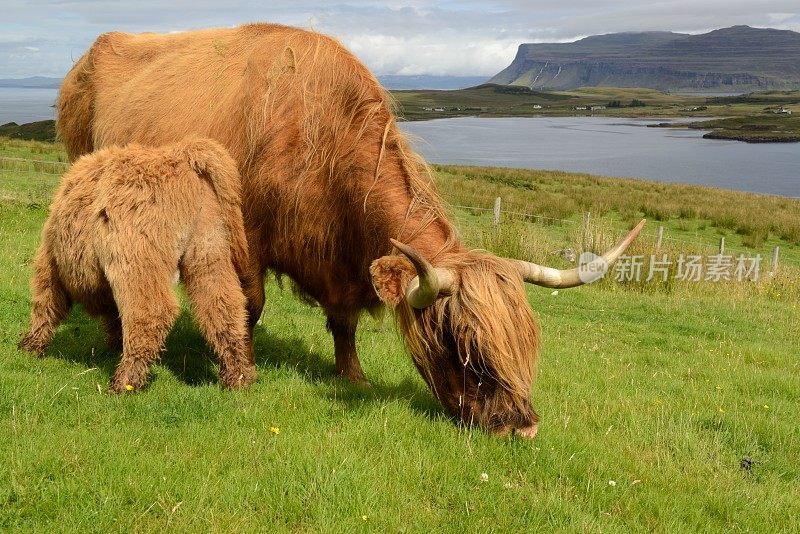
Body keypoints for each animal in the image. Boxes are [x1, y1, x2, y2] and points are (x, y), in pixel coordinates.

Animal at [17, 135, 255, 394]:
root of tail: (182, 156)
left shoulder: (49, 262)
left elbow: (45, 305)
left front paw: (30, 346)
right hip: (208, 252)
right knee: (222, 308)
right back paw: (238, 377)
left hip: (135, 259)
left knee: (150, 312)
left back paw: (124, 381)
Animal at [54, 23, 644, 438]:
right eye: (460, 342)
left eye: (525, 342)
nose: (522, 427)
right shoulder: (247, 237)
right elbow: (250, 304)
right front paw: (242, 369)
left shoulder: (340, 263)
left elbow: (344, 323)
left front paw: (352, 374)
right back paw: (113, 337)